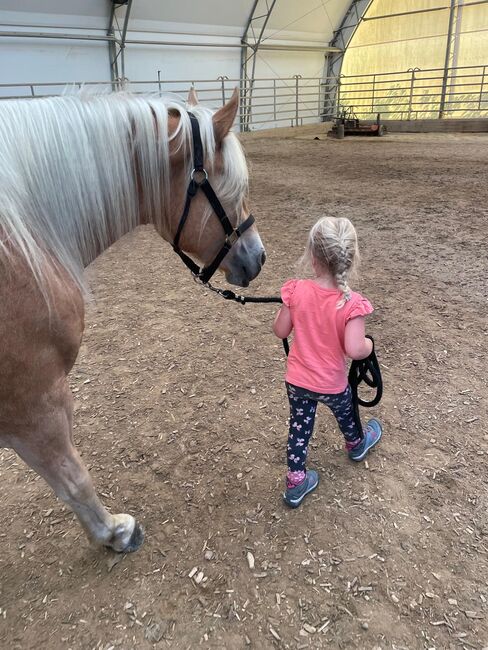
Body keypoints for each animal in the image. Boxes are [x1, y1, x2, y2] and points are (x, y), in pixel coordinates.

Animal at [0, 86, 264, 552]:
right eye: (234, 188)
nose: (260, 256)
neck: (28, 235)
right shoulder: (34, 404)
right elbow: (73, 479)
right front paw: (114, 532)